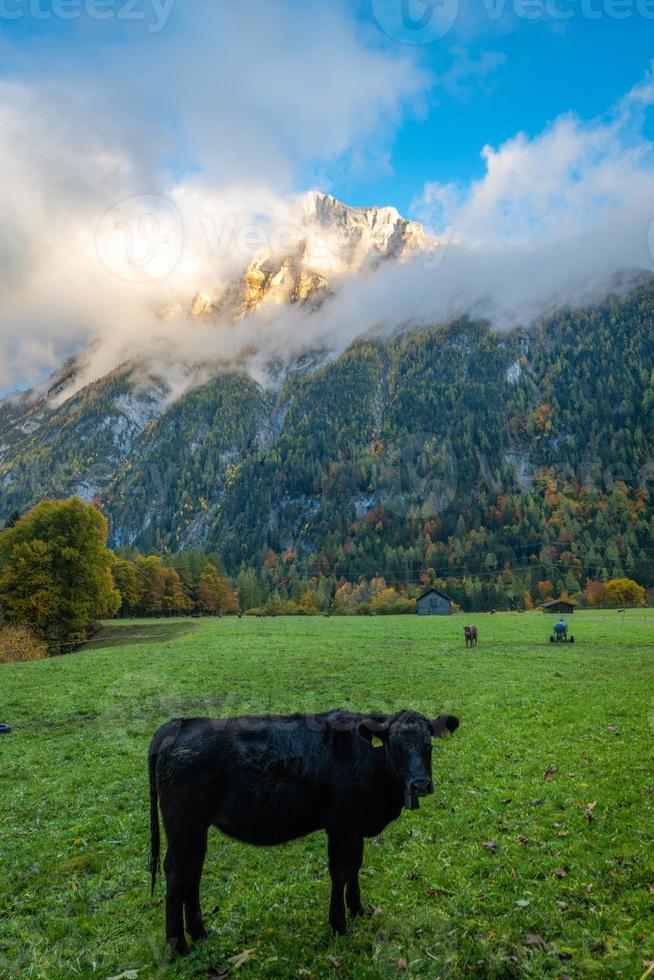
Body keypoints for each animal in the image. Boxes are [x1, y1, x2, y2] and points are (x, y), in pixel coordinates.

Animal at [149, 708, 462, 952]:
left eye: (428, 745)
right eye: (395, 747)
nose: (420, 784)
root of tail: (181, 724)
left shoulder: (355, 826)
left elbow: (355, 866)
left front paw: (358, 910)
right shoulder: (341, 824)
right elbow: (340, 871)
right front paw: (339, 925)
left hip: (195, 831)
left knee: (193, 872)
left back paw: (200, 934)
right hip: (183, 825)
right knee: (177, 874)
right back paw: (179, 946)